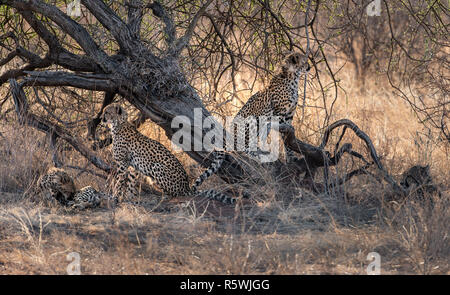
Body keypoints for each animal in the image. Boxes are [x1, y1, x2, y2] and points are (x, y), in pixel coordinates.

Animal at [99, 103, 236, 205]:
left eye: (107, 112)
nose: (101, 118)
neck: (119, 124)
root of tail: (187, 187)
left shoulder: (122, 164)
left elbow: (119, 182)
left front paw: (115, 198)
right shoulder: (132, 166)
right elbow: (130, 183)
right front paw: (128, 198)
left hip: (156, 167)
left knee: (174, 194)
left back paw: (161, 199)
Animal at [193, 52, 310, 188]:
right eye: (304, 61)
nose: (309, 67)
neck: (293, 78)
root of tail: (229, 135)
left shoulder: (289, 115)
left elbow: (288, 138)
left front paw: (291, 158)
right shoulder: (279, 115)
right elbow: (282, 135)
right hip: (252, 121)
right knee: (242, 146)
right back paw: (256, 155)